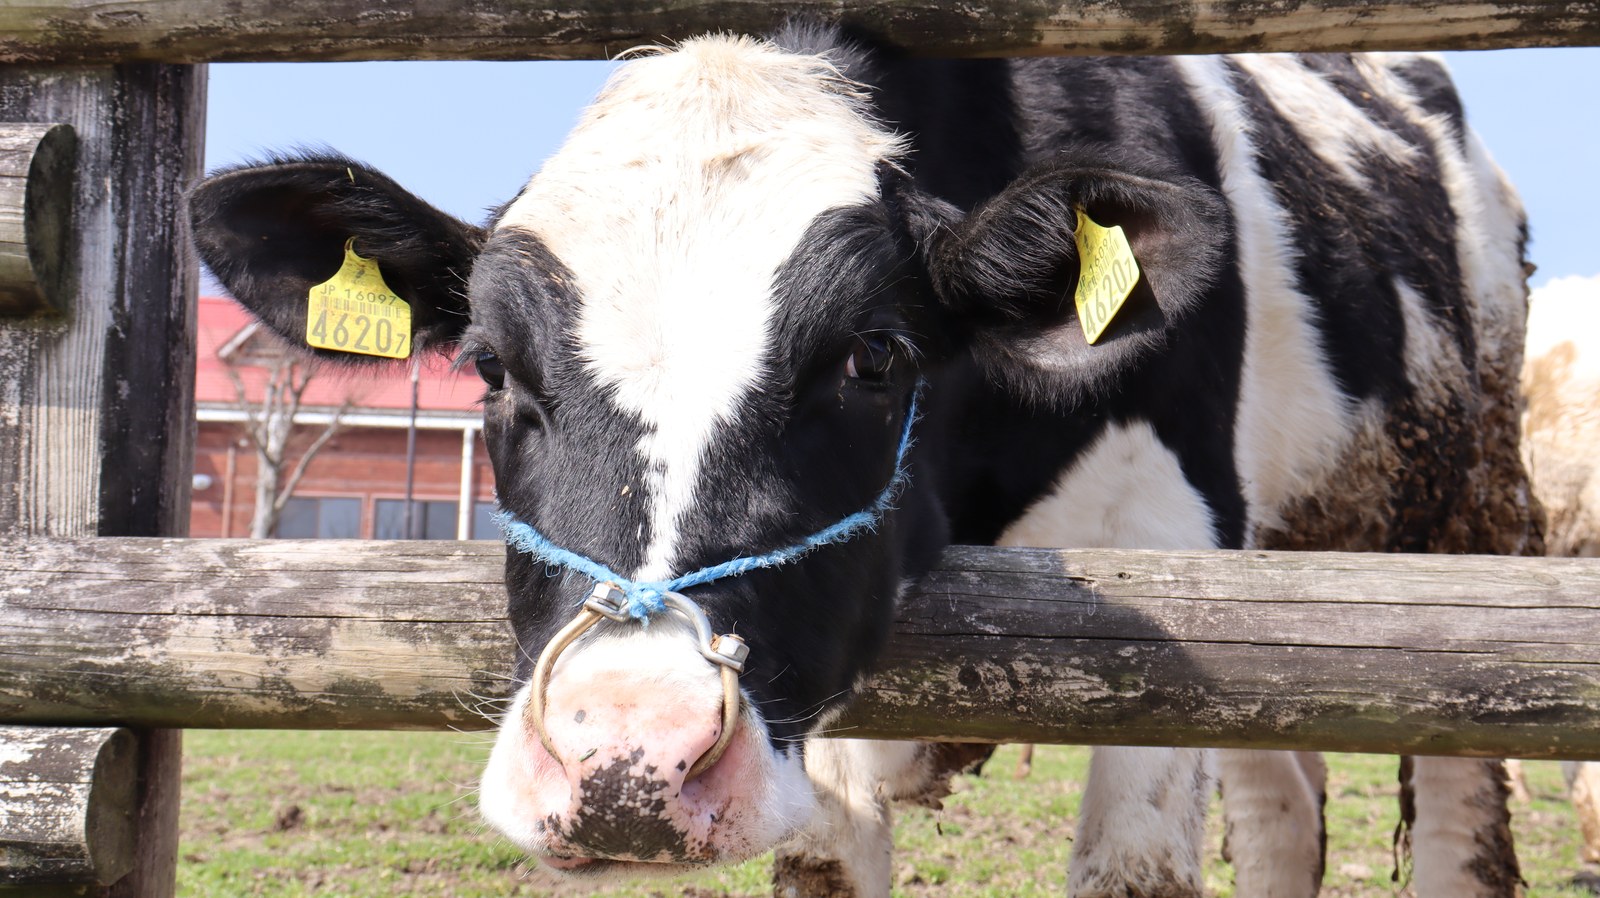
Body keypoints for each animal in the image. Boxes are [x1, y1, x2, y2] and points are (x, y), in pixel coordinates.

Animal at [187, 27, 1542, 898]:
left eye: (874, 355)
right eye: (489, 369)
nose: (627, 761)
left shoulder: (1176, 568)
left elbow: (1135, 866)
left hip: (1468, 535)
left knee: (1457, 818)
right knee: (1281, 807)